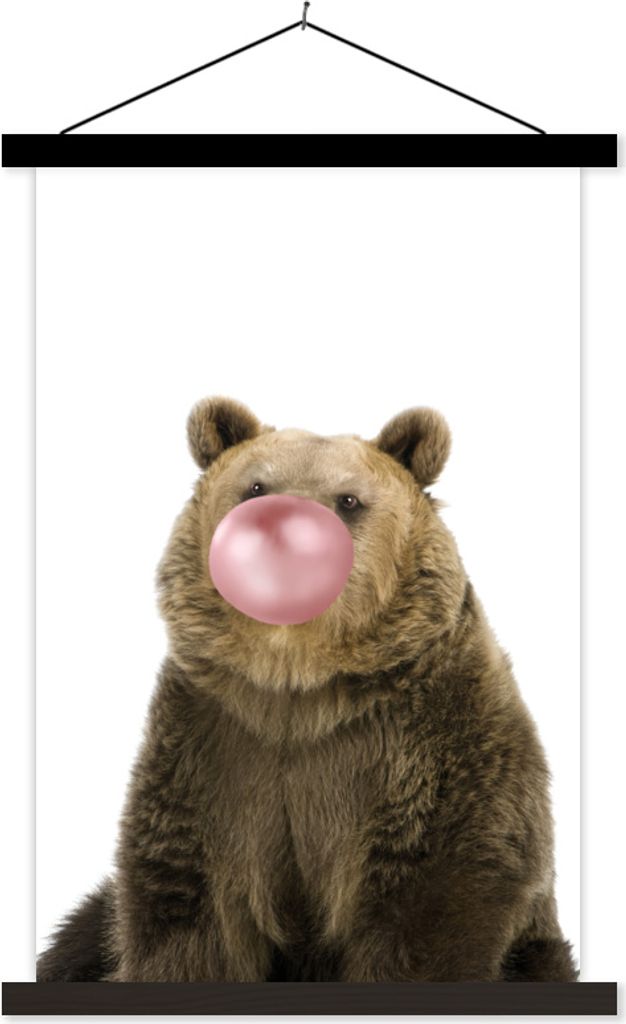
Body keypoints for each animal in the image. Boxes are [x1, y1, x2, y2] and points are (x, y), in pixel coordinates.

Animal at [37, 396, 577, 983]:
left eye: (349, 499)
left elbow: (435, 889)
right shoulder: (213, 743)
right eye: (255, 486)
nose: (280, 529)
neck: (299, 681)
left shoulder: (430, 737)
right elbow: (190, 897)